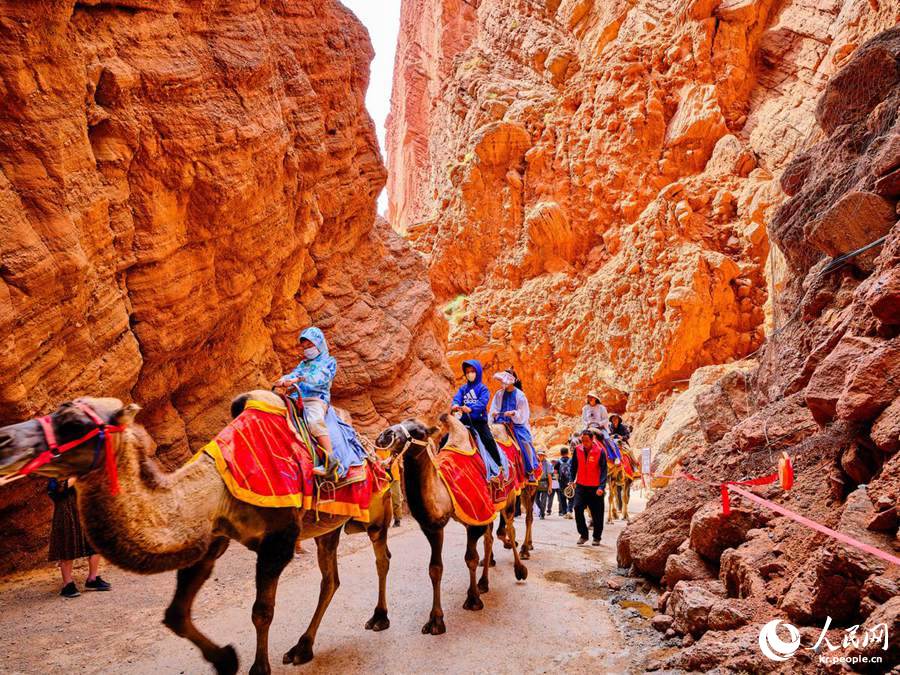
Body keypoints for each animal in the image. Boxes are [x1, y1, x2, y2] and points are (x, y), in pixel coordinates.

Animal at [0, 394, 390, 672]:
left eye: (73, 423)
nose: (4, 438)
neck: (217, 488)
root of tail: (372, 447)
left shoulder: (277, 541)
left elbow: (261, 611)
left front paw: (256, 668)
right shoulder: (212, 539)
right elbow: (175, 614)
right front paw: (226, 659)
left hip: (376, 509)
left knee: (381, 556)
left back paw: (379, 619)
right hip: (329, 525)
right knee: (330, 579)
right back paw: (303, 648)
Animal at [374, 414, 528, 636]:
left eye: (419, 431)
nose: (385, 435)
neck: (445, 491)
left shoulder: (475, 519)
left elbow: (471, 558)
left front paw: (473, 599)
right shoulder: (435, 527)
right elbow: (435, 569)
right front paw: (436, 620)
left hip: (508, 499)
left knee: (510, 528)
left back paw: (519, 568)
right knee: (490, 539)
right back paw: (484, 582)